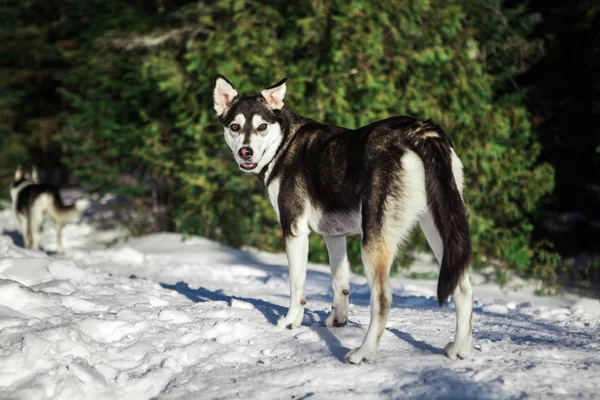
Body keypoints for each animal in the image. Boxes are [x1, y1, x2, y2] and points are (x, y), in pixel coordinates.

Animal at [216, 74, 474, 362]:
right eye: (235, 127)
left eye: (262, 126)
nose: (245, 152)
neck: (283, 144)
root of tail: (421, 130)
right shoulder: (334, 236)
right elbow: (340, 283)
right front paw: (338, 321)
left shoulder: (294, 231)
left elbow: (297, 286)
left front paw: (290, 321)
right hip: (439, 230)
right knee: (463, 289)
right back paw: (459, 349)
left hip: (374, 241)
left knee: (383, 300)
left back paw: (362, 353)